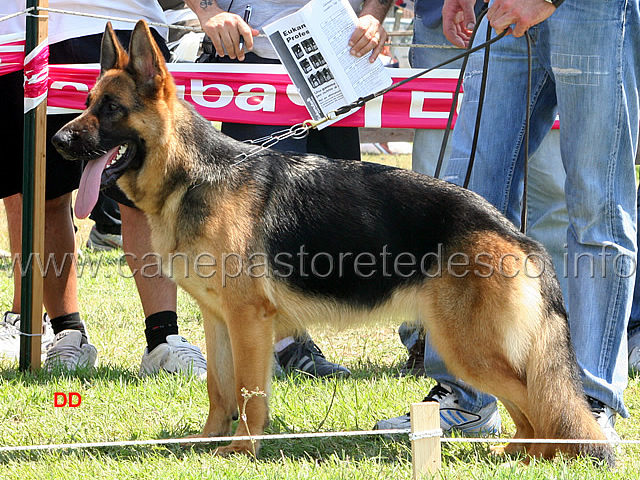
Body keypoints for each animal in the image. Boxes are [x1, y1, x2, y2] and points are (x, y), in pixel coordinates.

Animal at [53, 20, 616, 464]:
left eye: (111, 108)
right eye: (84, 103)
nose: (58, 141)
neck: (194, 176)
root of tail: (513, 231)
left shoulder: (249, 320)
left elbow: (250, 394)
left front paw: (243, 450)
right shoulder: (218, 318)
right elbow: (220, 390)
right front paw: (206, 444)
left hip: (468, 349)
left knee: (545, 406)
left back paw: (542, 457)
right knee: (533, 411)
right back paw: (519, 453)